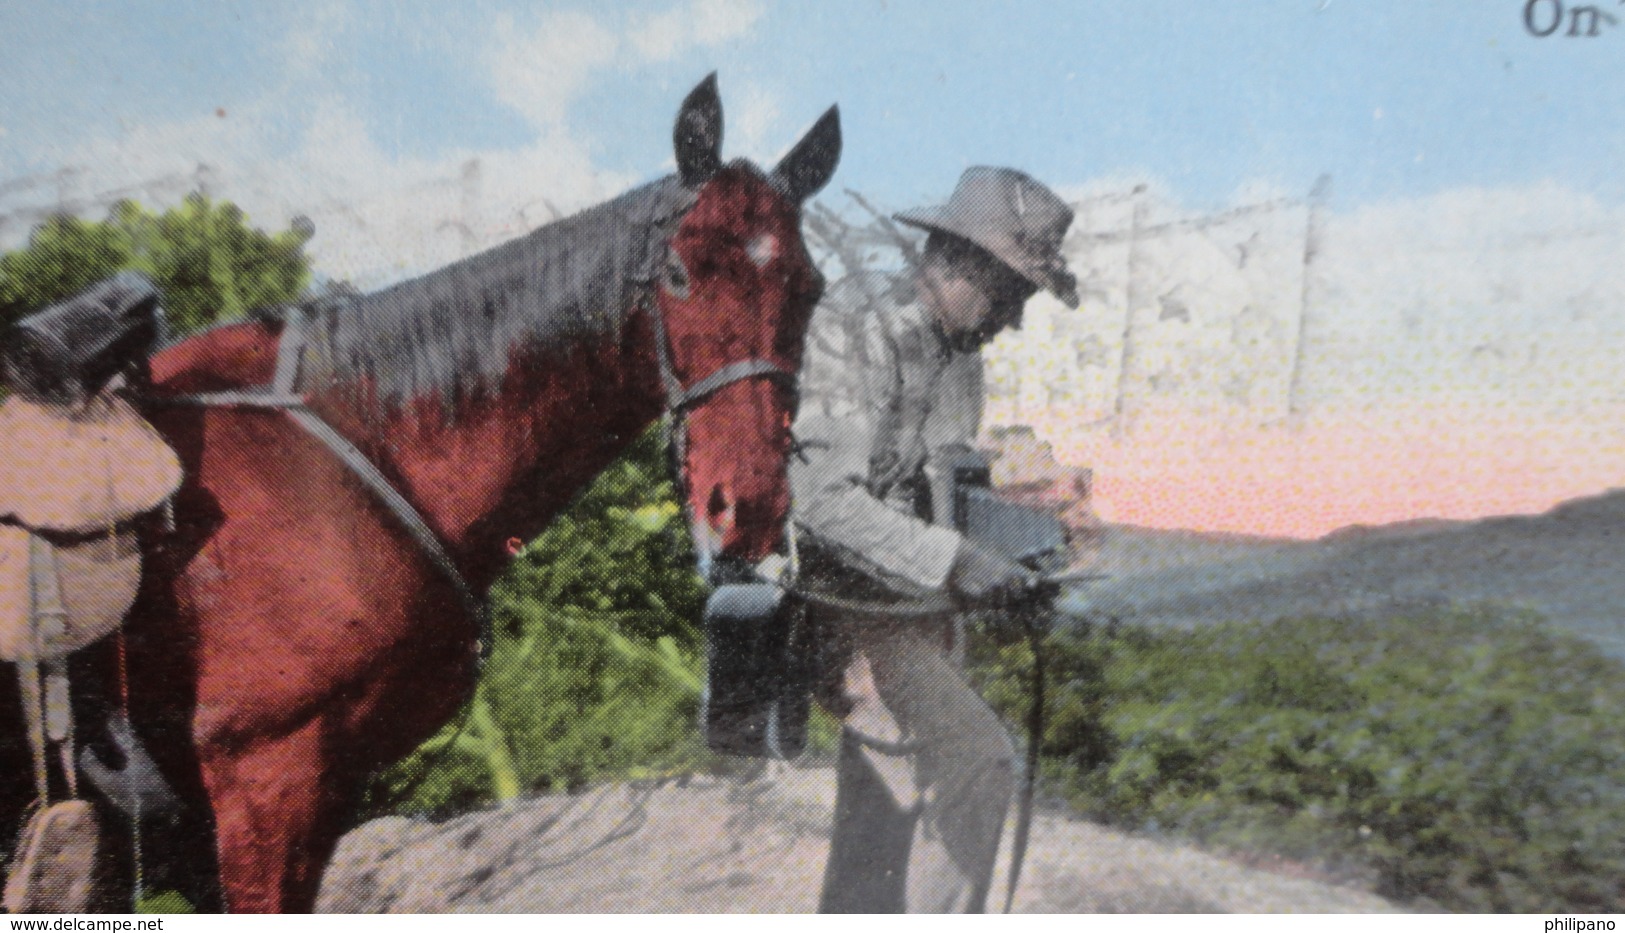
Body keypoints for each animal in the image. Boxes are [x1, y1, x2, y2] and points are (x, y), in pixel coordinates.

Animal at [63, 74, 838, 916]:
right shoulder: (263, 780)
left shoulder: (316, 794)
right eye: (678, 274)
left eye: (810, 289)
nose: (749, 505)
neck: (348, 450)